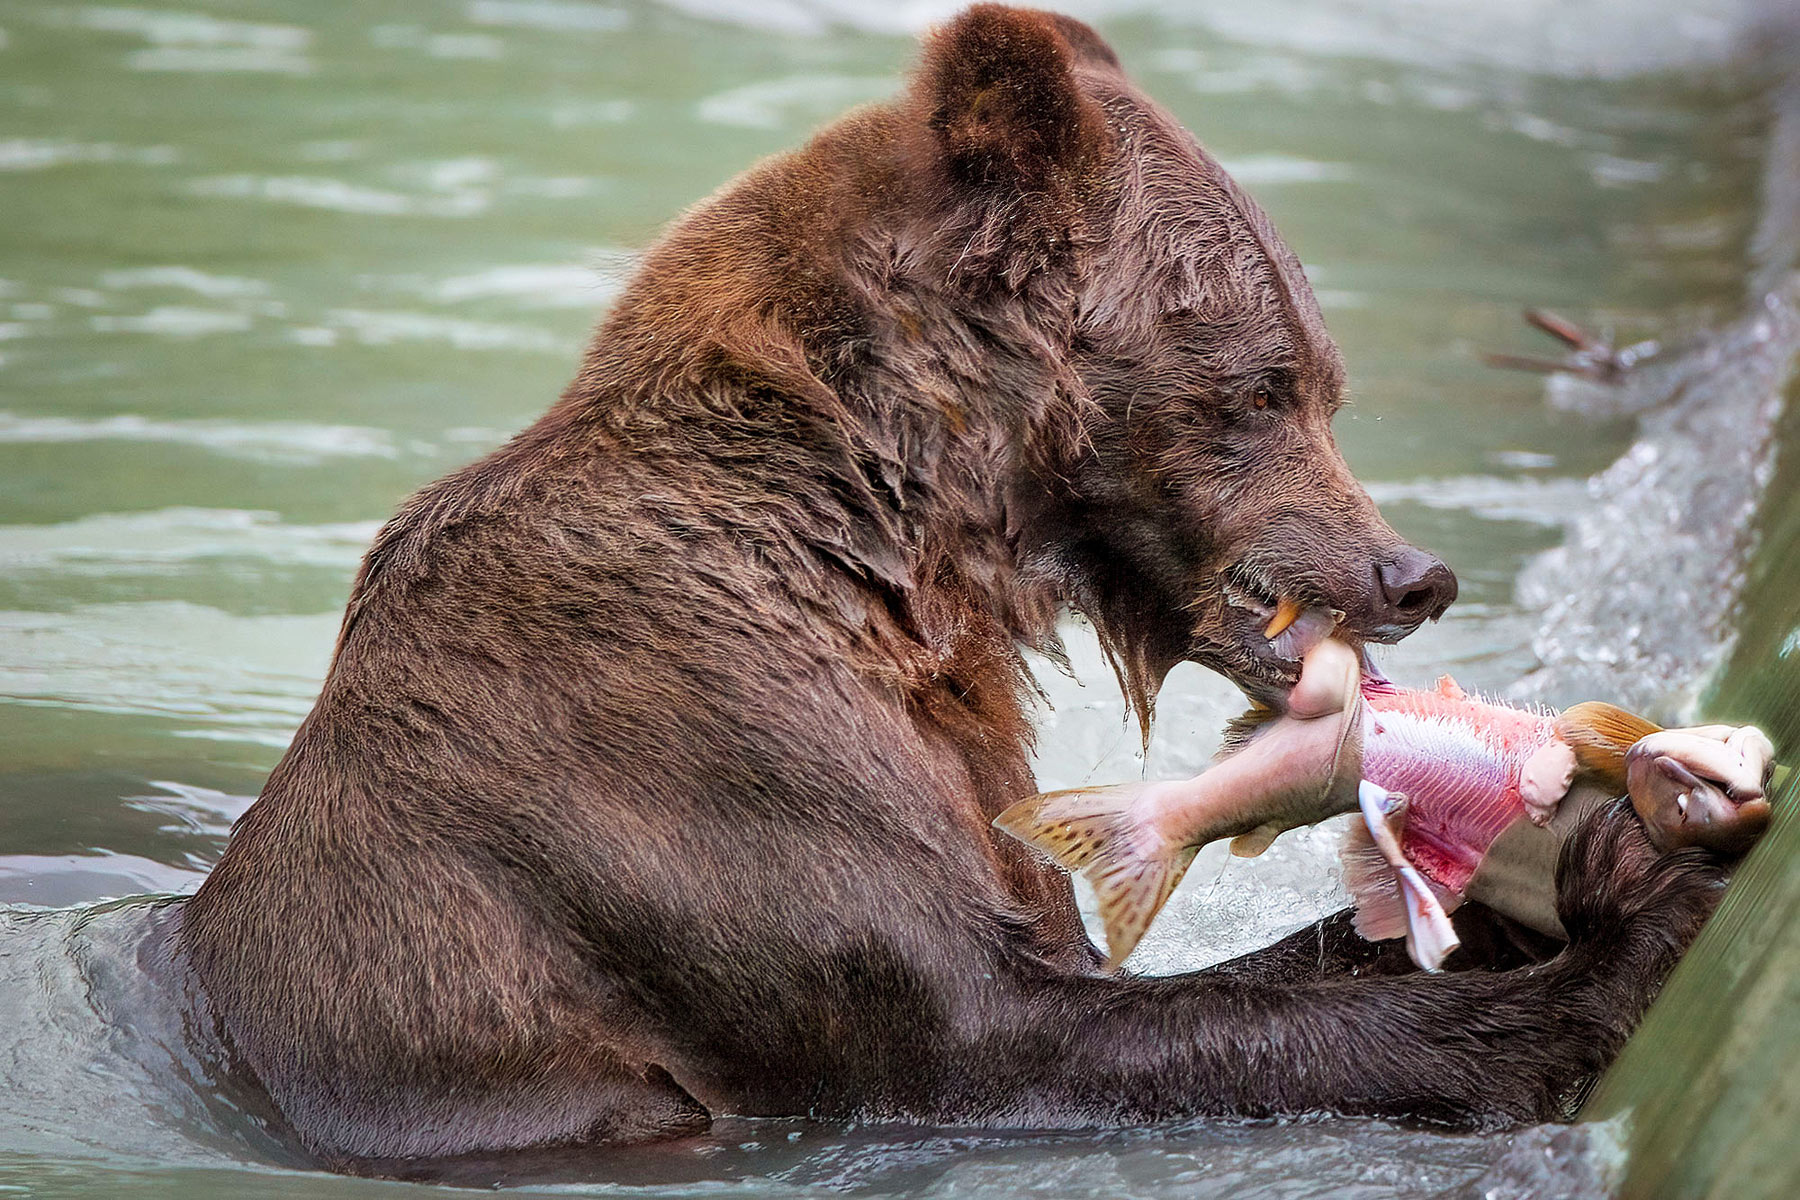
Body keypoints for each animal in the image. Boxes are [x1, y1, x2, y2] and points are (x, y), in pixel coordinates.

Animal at [171, 4, 1728, 1180]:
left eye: (1325, 381)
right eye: (1264, 386)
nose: (1414, 573)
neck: (895, 548)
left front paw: (1594, 863)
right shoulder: (696, 756)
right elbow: (1002, 1028)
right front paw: (1628, 948)